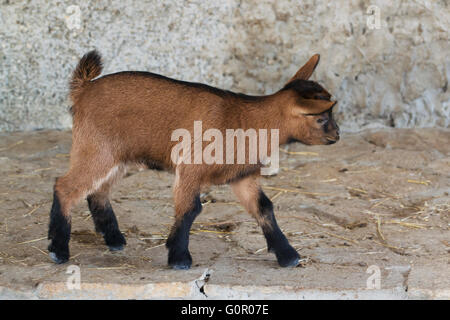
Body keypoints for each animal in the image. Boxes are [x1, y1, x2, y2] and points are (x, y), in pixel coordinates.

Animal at [48, 51, 338, 268]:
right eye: (321, 118)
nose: (337, 134)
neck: (247, 120)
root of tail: (84, 89)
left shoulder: (242, 176)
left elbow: (263, 208)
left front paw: (288, 255)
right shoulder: (190, 169)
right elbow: (189, 209)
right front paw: (178, 258)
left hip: (117, 157)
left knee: (97, 192)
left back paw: (114, 239)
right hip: (96, 150)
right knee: (65, 186)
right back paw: (59, 250)